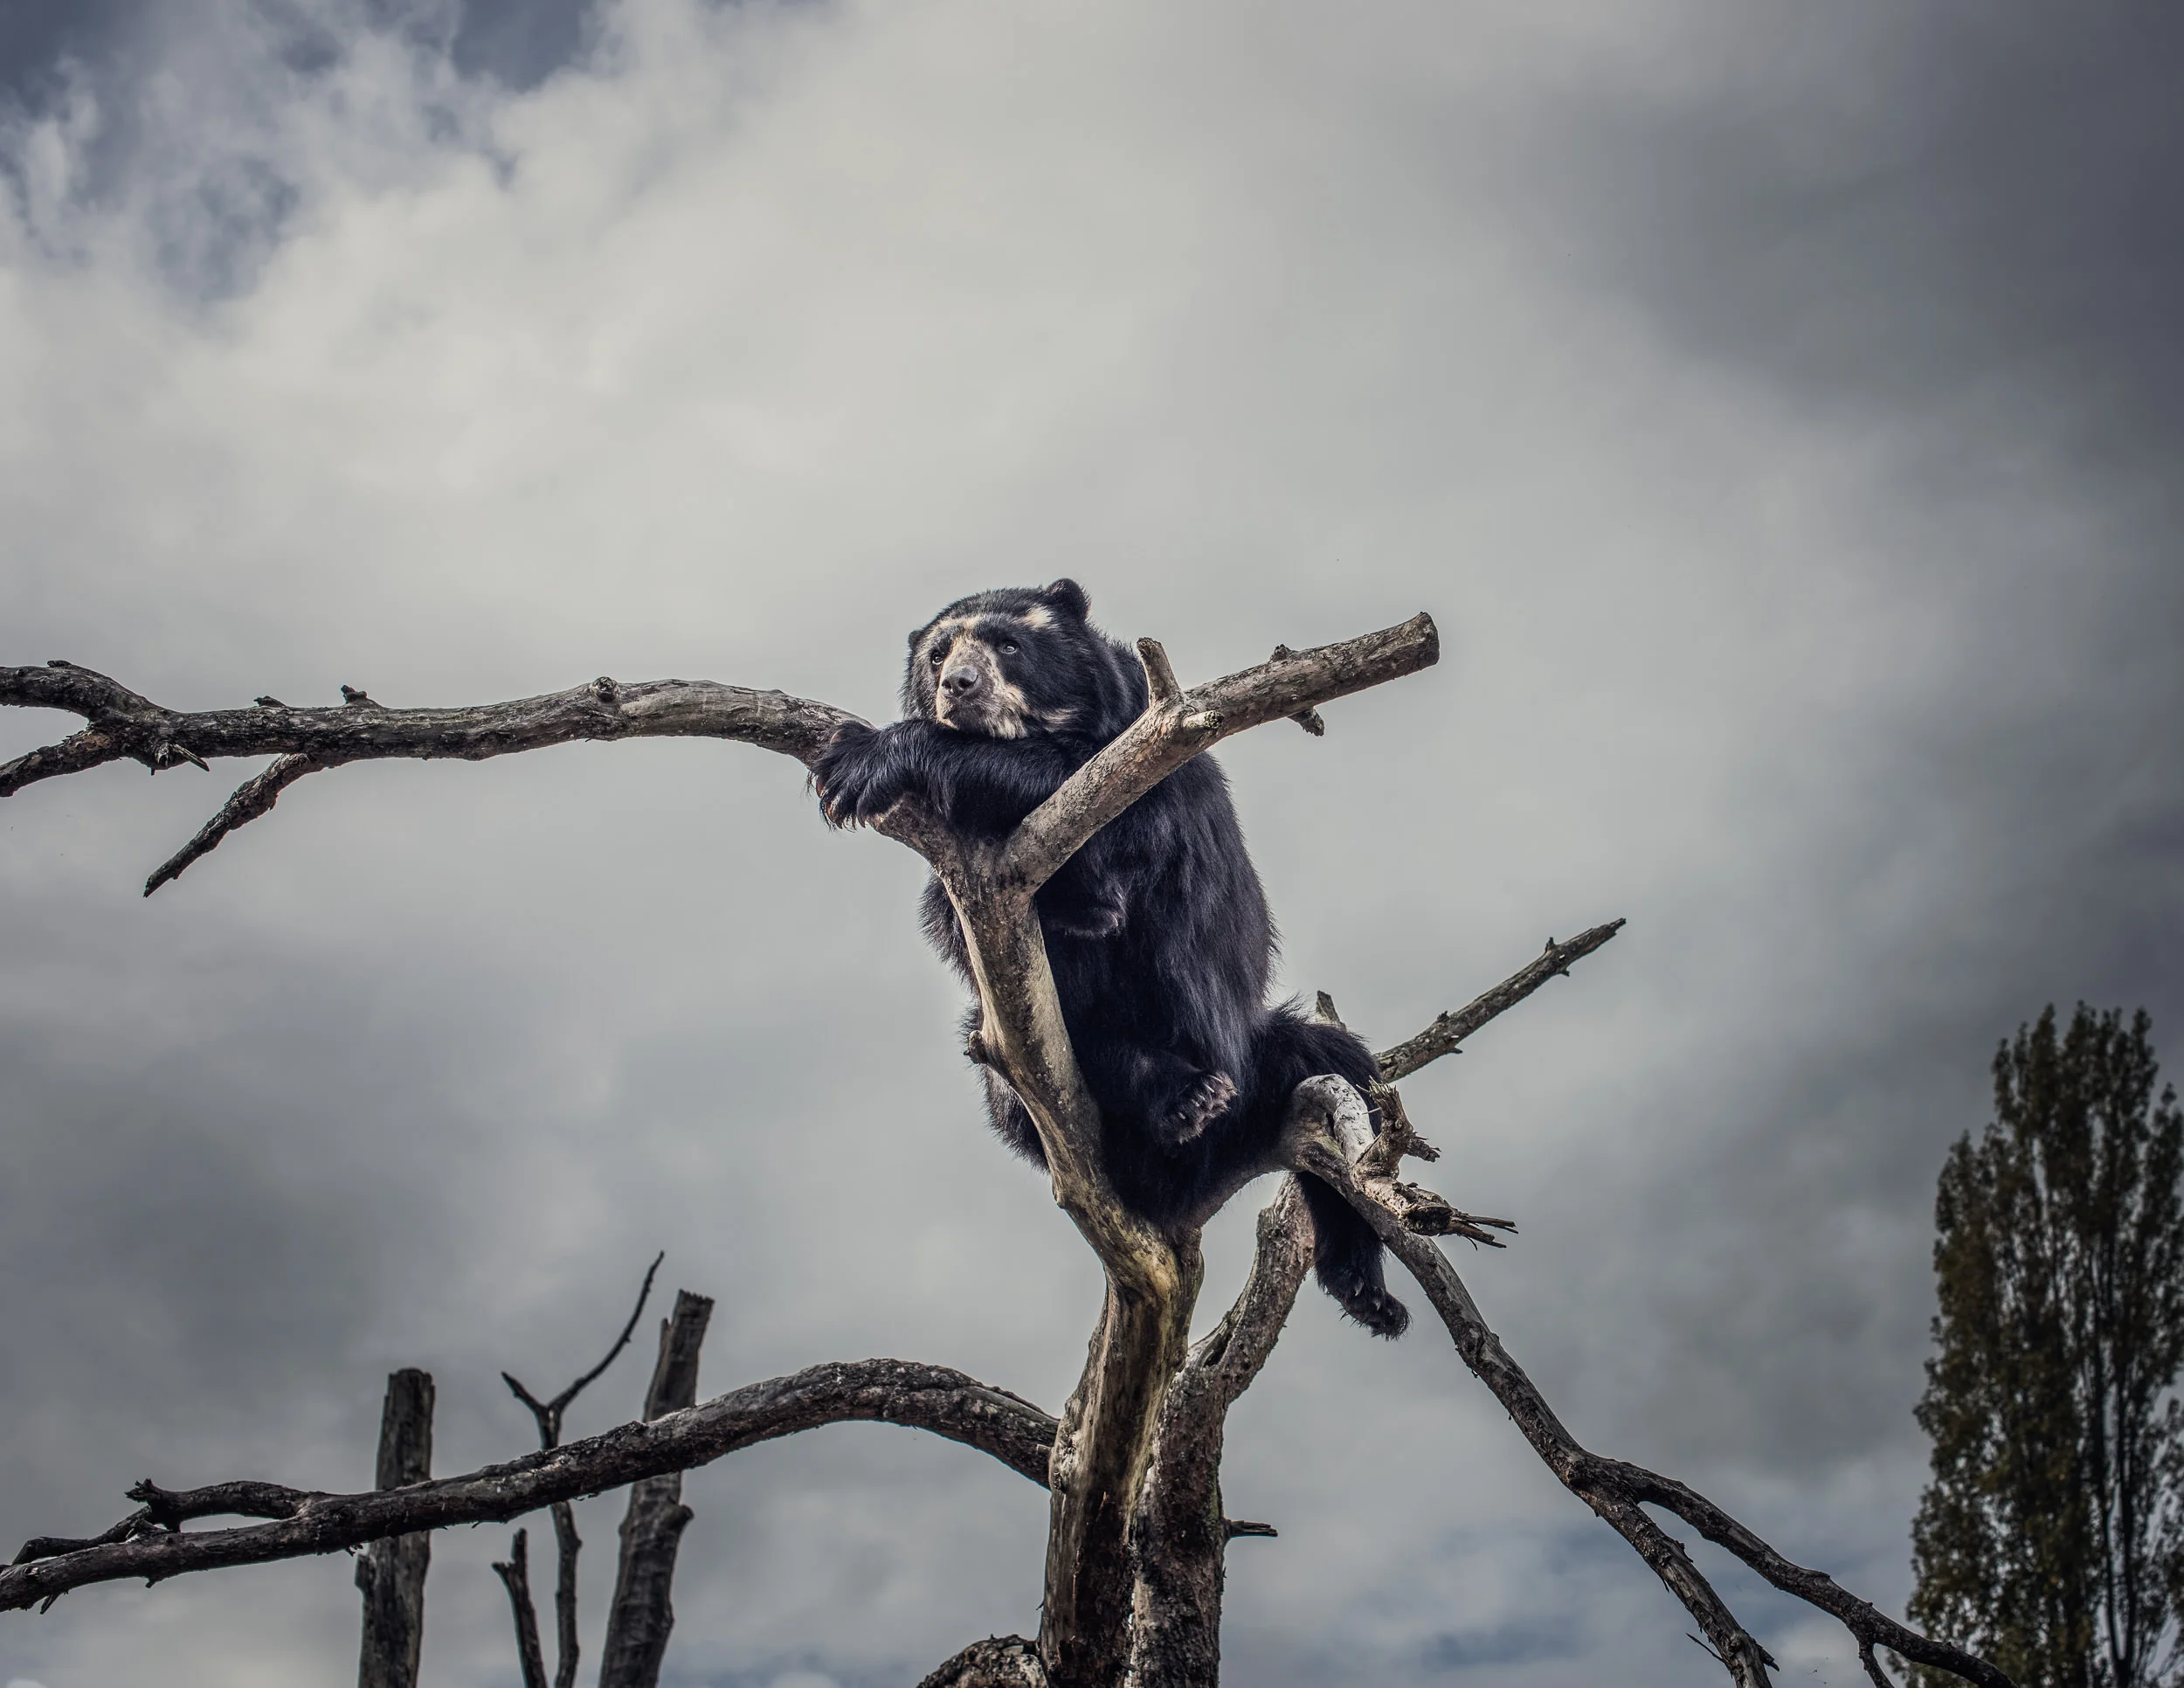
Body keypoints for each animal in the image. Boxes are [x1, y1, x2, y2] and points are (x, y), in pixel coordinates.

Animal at [812, 578, 1409, 1337]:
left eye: (1009, 643)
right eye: (938, 654)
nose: (958, 686)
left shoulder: (1150, 763)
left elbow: (1101, 811)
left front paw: (856, 762)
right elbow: (954, 925)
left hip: (1257, 1058)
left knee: (1344, 1078)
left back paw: (1366, 1286)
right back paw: (1181, 1096)